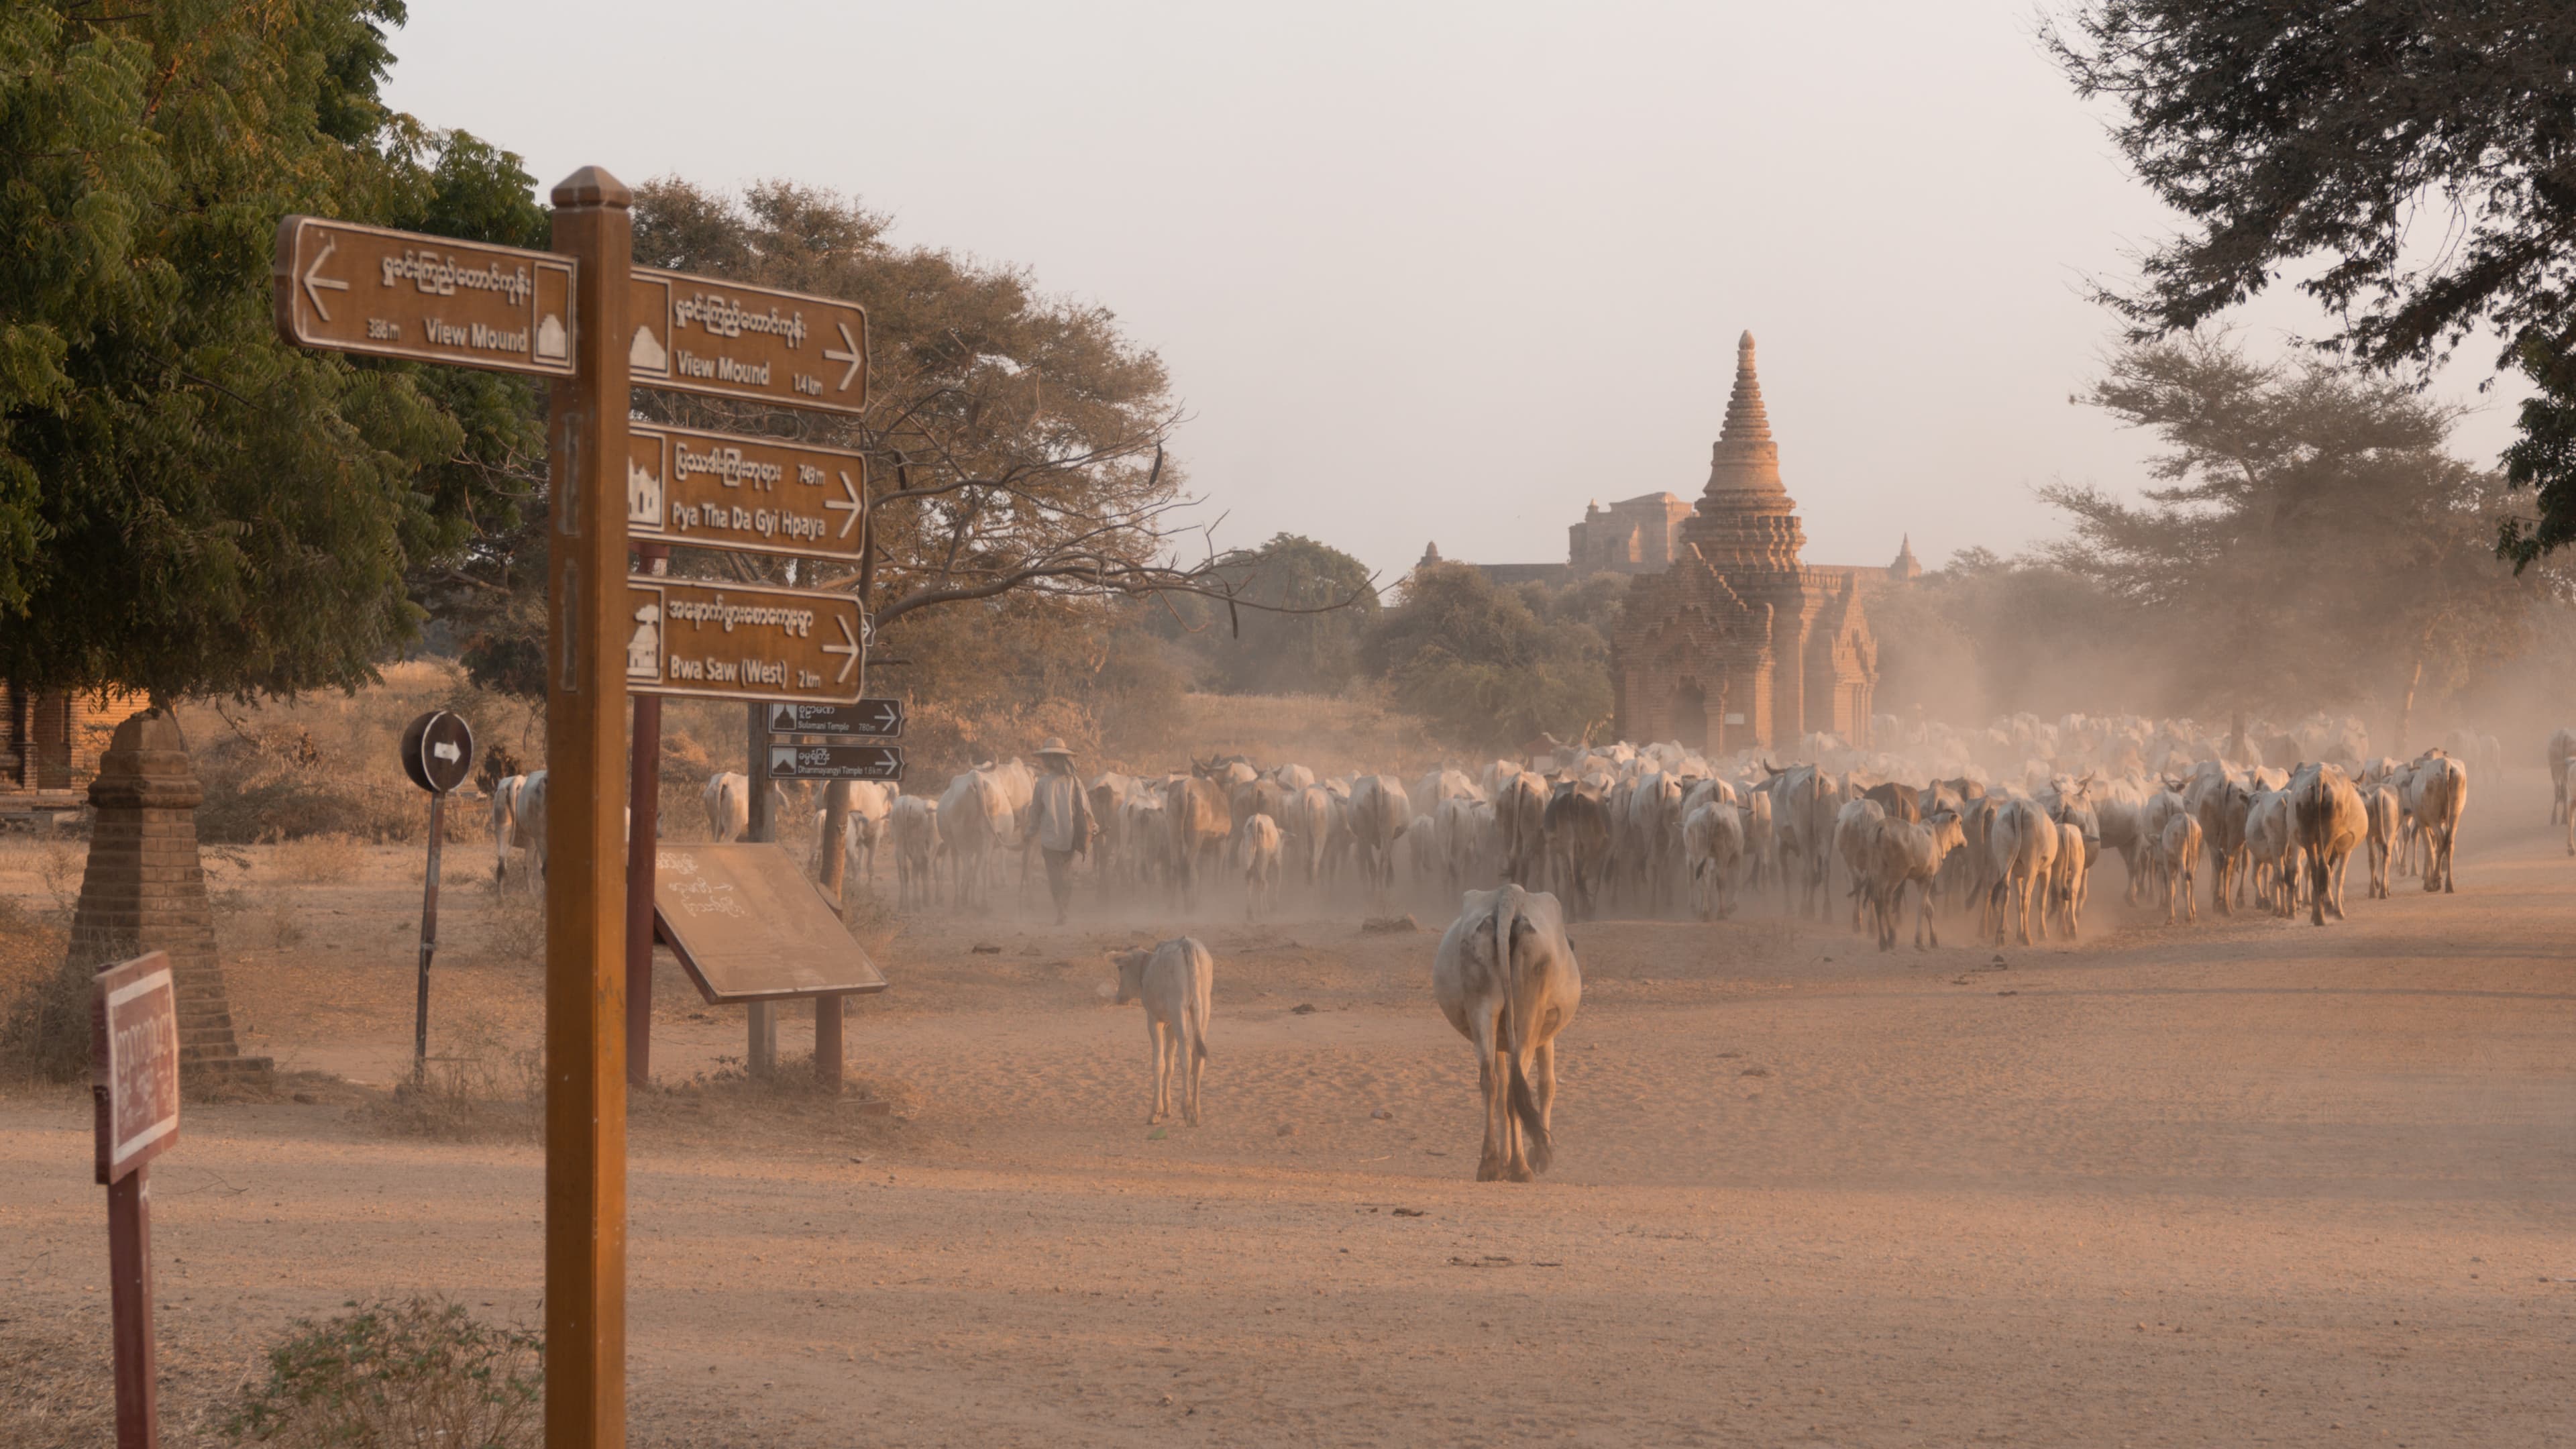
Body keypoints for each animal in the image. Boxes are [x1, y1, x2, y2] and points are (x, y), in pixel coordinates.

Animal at [1108, 938, 1216, 1129]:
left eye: (1121, 968)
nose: (1119, 997)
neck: (1146, 967)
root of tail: (1187, 943)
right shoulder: (1170, 1024)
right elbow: (1170, 1065)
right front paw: (1166, 1108)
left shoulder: (1154, 1020)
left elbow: (1159, 1063)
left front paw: (1156, 1112)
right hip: (1203, 1007)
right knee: (1197, 1055)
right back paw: (1196, 1111)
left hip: (1178, 1007)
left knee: (1186, 1054)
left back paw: (1187, 1109)